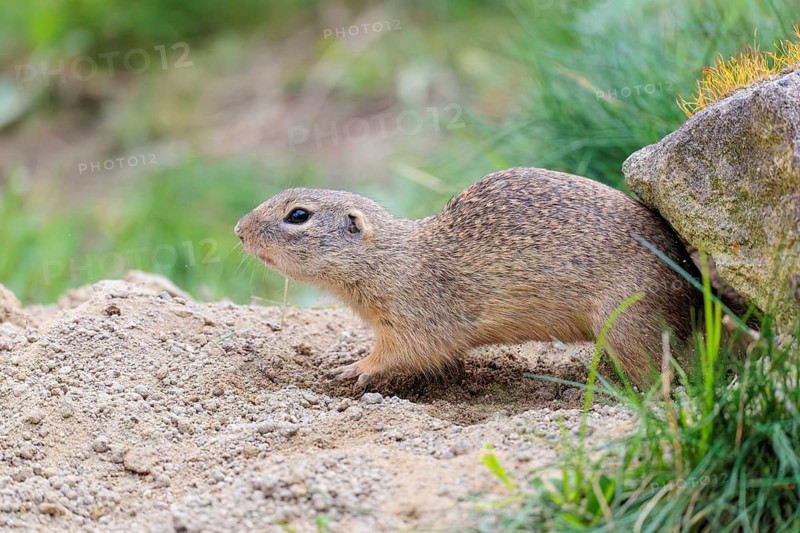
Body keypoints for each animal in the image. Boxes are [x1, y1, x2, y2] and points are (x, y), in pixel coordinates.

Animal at [235, 167, 699, 388]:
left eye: (298, 215)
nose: (239, 229)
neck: (391, 258)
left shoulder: (415, 317)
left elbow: (403, 352)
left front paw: (353, 368)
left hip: (626, 322)